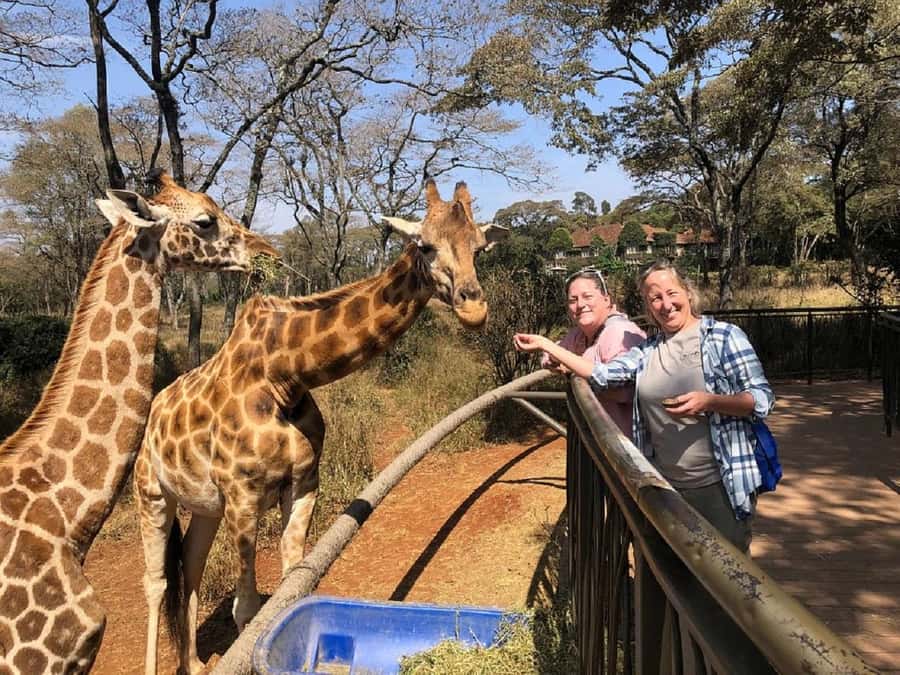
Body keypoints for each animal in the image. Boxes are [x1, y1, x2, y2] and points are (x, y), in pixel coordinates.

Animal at [133, 179, 507, 674]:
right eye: (426, 246)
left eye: (480, 247)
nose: (475, 308)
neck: (284, 378)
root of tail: (153, 414)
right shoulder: (243, 496)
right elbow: (246, 611)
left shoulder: (303, 482)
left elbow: (291, 582)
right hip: (152, 493)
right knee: (156, 582)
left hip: (205, 506)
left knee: (189, 569)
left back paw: (193, 664)